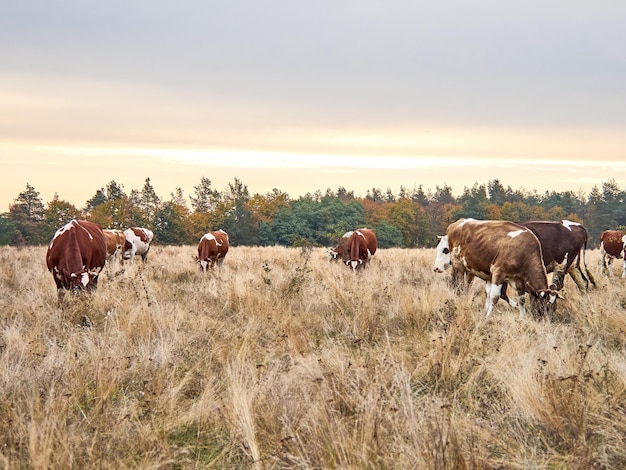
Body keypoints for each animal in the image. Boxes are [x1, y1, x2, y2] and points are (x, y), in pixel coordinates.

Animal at [432, 219, 560, 316]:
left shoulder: (518, 280)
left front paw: (523, 317)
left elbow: (522, 299)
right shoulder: (498, 273)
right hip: (458, 266)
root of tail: (458, 223)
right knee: (459, 287)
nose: (546, 322)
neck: (525, 251)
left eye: (553, 308)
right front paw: (488, 315)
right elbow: (495, 297)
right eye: (543, 307)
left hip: (469, 270)